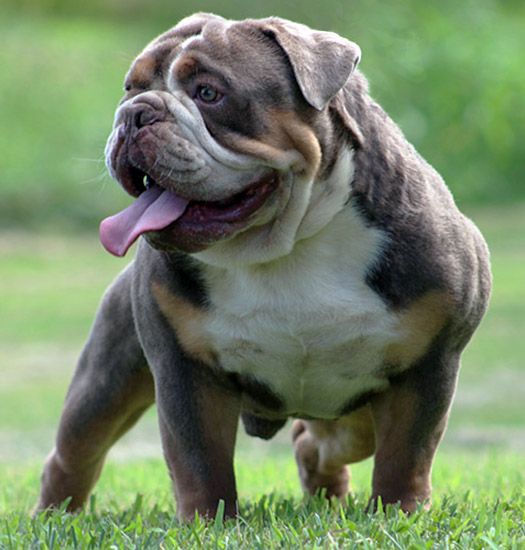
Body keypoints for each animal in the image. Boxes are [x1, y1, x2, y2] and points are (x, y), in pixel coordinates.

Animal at [36, 13, 491, 519]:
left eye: (209, 93)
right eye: (130, 88)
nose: (134, 113)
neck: (287, 243)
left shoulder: (427, 368)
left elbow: (408, 456)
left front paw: (400, 513)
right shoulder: (185, 370)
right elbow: (198, 460)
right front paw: (207, 522)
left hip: (358, 410)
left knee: (325, 440)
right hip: (105, 380)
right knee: (77, 450)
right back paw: (53, 514)